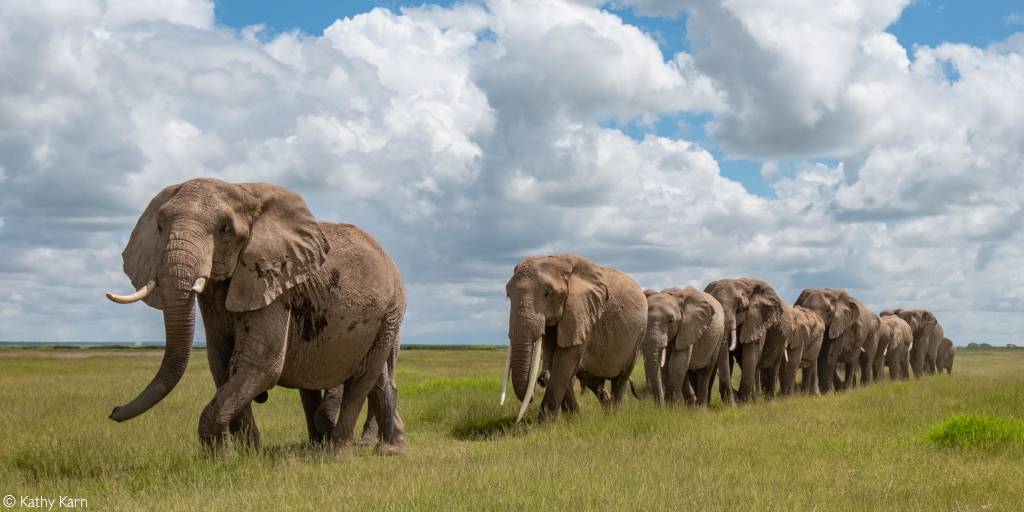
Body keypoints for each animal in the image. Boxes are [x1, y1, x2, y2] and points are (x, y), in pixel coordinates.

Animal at [105, 179, 403, 452]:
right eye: (159, 227)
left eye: (224, 230)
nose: (113, 411)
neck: (242, 190)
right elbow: (222, 361)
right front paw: (247, 453)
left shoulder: (273, 282)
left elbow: (261, 364)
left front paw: (221, 456)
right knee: (373, 379)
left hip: (391, 313)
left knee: (363, 378)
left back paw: (346, 451)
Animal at [503, 253, 647, 421]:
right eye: (508, 295)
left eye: (548, 294)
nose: (531, 396)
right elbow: (554, 359)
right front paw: (574, 418)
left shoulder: (583, 314)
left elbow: (565, 360)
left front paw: (544, 422)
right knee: (594, 382)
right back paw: (606, 412)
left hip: (639, 335)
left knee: (620, 379)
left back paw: (614, 415)